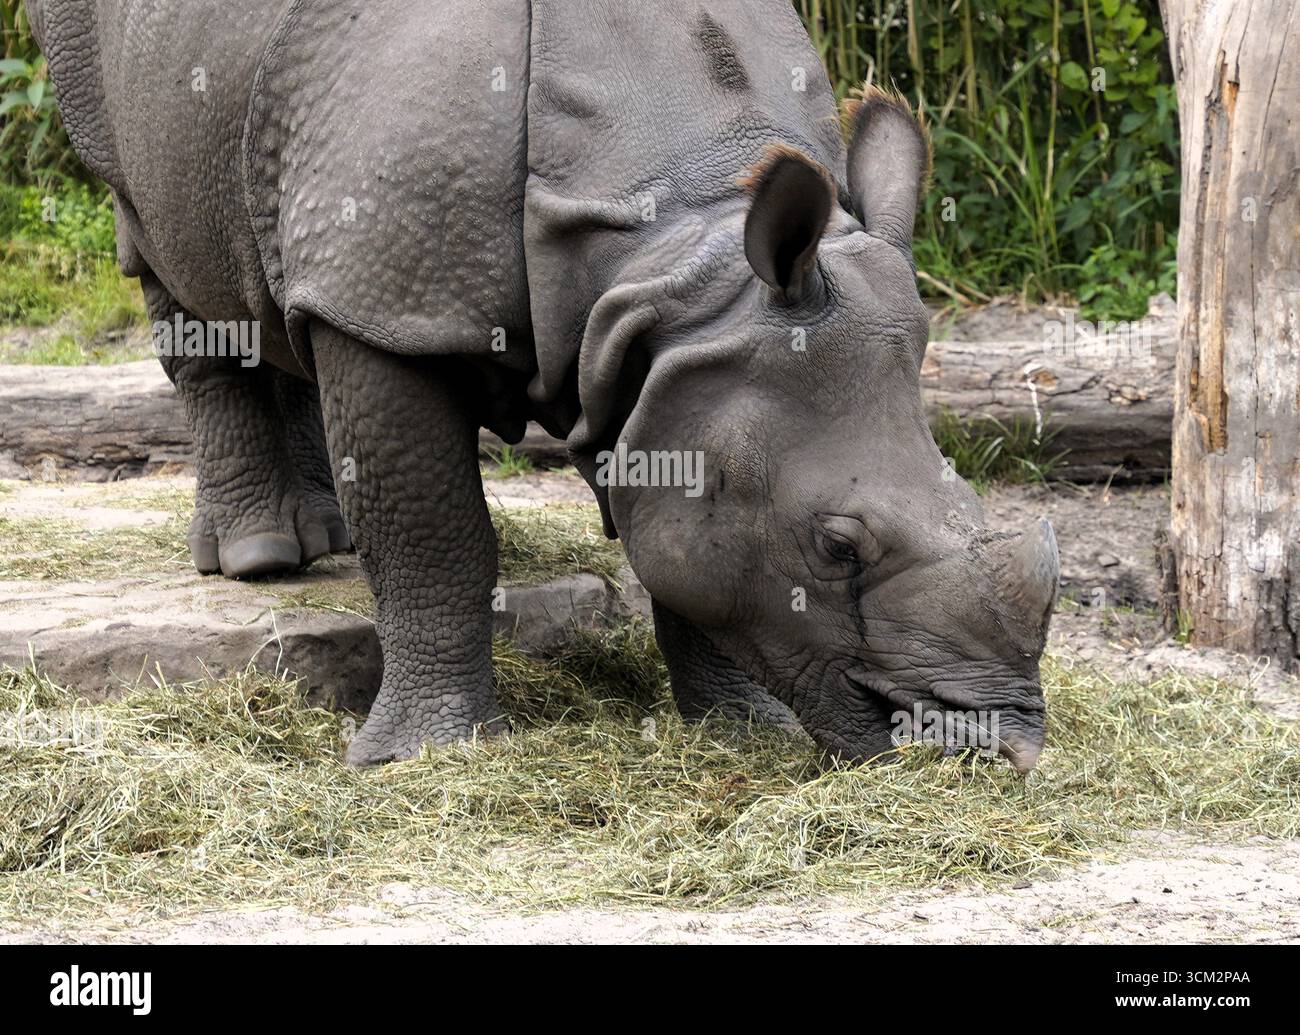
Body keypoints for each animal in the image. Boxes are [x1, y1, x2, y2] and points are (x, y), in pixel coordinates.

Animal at [29, 0, 1058, 770]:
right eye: (838, 548)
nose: (997, 746)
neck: (680, 236)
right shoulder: (401, 298)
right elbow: (434, 530)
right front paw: (427, 758)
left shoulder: (669, 342)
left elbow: (686, 540)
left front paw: (739, 732)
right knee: (152, 227)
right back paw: (260, 559)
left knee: (288, 285)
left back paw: (319, 539)